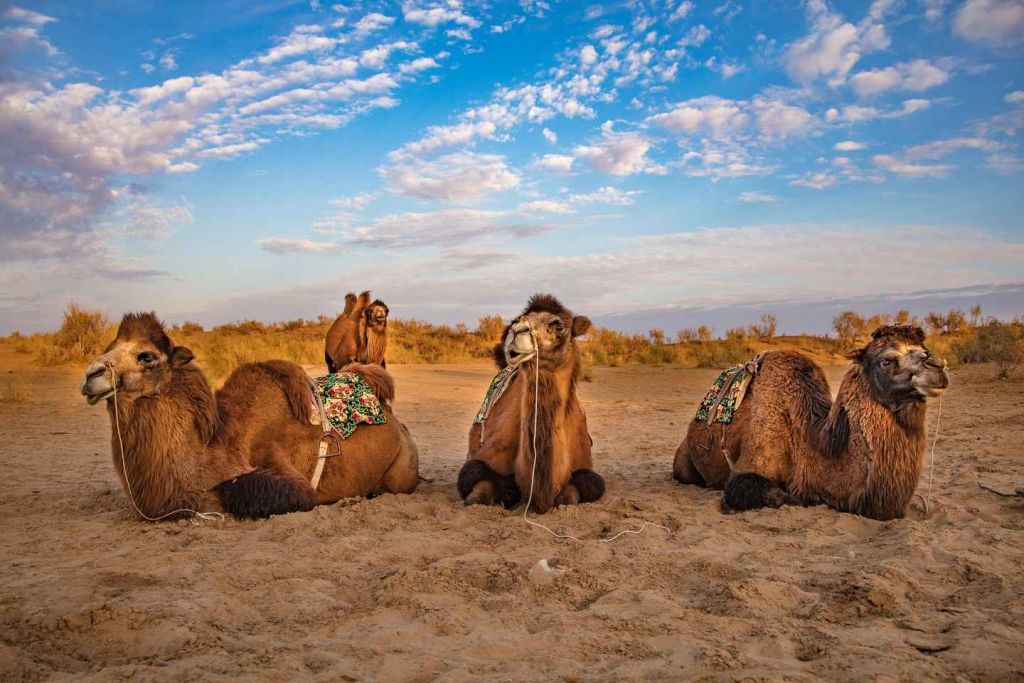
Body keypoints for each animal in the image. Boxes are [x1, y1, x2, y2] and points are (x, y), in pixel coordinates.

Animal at [81, 312, 418, 521]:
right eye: (109, 347)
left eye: (146, 356)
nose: (91, 375)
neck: (214, 445)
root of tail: (399, 425)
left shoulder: (287, 477)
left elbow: (247, 490)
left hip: (402, 471)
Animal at [458, 294, 604, 513]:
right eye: (518, 319)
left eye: (558, 325)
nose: (517, 330)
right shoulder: (479, 464)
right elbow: (475, 496)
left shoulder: (585, 474)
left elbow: (568, 498)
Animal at [673, 325, 949, 520]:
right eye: (886, 360)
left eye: (923, 347)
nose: (937, 366)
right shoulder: (748, 468)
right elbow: (785, 497)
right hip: (684, 463)